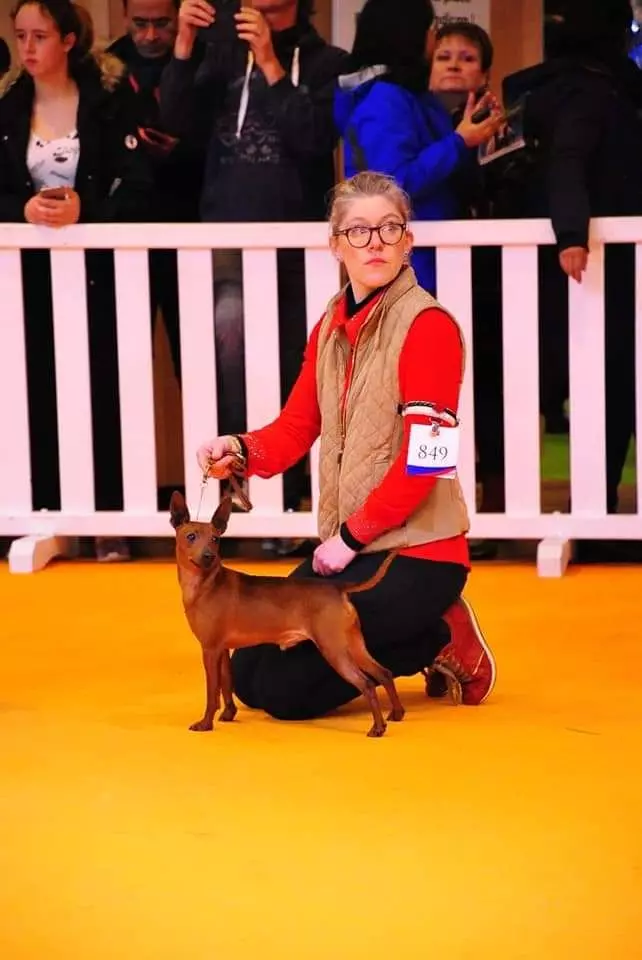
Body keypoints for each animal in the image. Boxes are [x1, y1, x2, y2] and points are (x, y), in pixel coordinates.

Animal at [170, 490, 405, 737]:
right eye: (191, 536)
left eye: (215, 539)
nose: (209, 556)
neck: (206, 584)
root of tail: (338, 588)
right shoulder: (221, 649)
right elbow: (225, 685)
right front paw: (228, 715)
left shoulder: (210, 649)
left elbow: (212, 693)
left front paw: (205, 723)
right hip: (354, 645)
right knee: (384, 673)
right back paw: (396, 713)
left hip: (334, 650)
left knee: (367, 684)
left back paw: (377, 727)